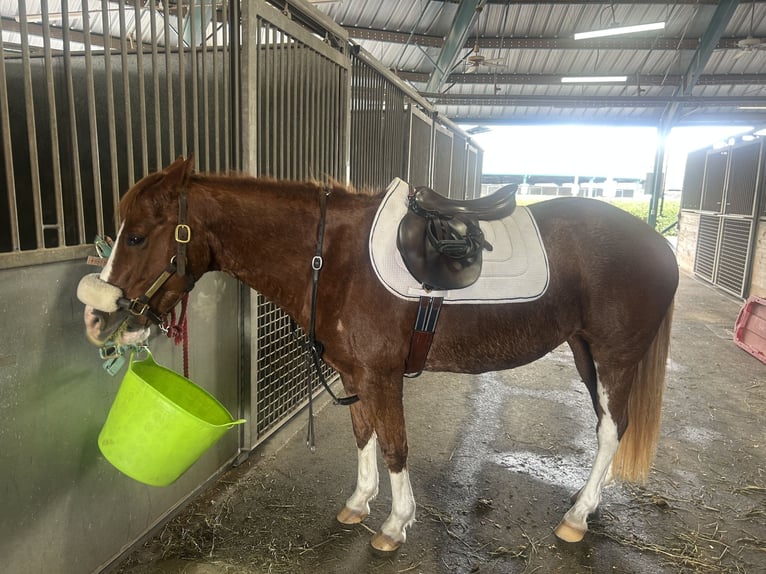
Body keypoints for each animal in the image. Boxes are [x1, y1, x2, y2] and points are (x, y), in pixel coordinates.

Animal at [78, 156, 678, 551]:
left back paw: (577, 516)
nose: (97, 319)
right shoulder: (353, 373)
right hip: (584, 353)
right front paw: (359, 504)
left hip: (614, 358)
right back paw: (586, 502)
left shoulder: (383, 375)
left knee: (611, 430)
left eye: (137, 236)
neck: (333, 259)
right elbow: (363, 435)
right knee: (606, 426)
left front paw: (395, 526)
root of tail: (659, 245)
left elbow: (393, 445)